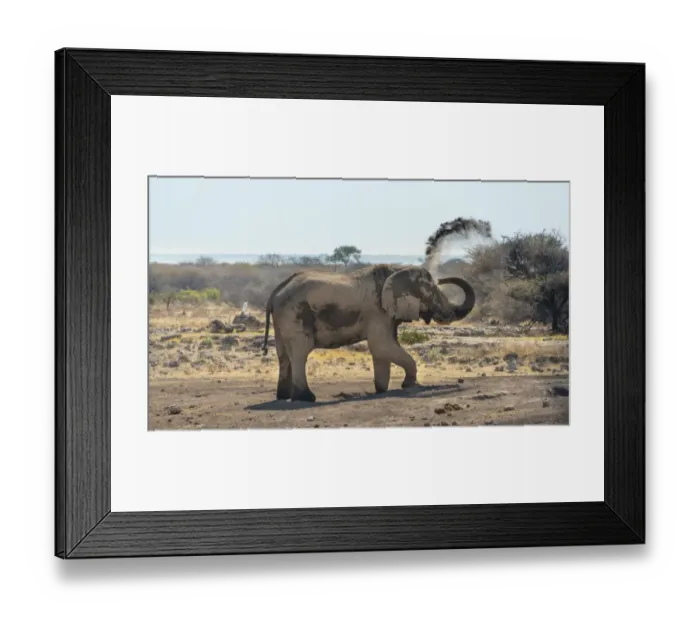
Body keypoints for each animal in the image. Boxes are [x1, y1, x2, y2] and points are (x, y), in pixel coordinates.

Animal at [261, 265, 475, 402]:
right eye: (432, 292)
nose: (443, 278)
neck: (396, 270)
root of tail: (275, 292)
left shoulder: (386, 314)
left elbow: (383, 350)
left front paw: (381, 390)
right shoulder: (377, 312)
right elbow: (381, 345)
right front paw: (410, 386)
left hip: (283, 319)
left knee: (283, 355)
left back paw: (284, 397)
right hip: (295, 314)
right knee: (300, 352)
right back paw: (306, 398)